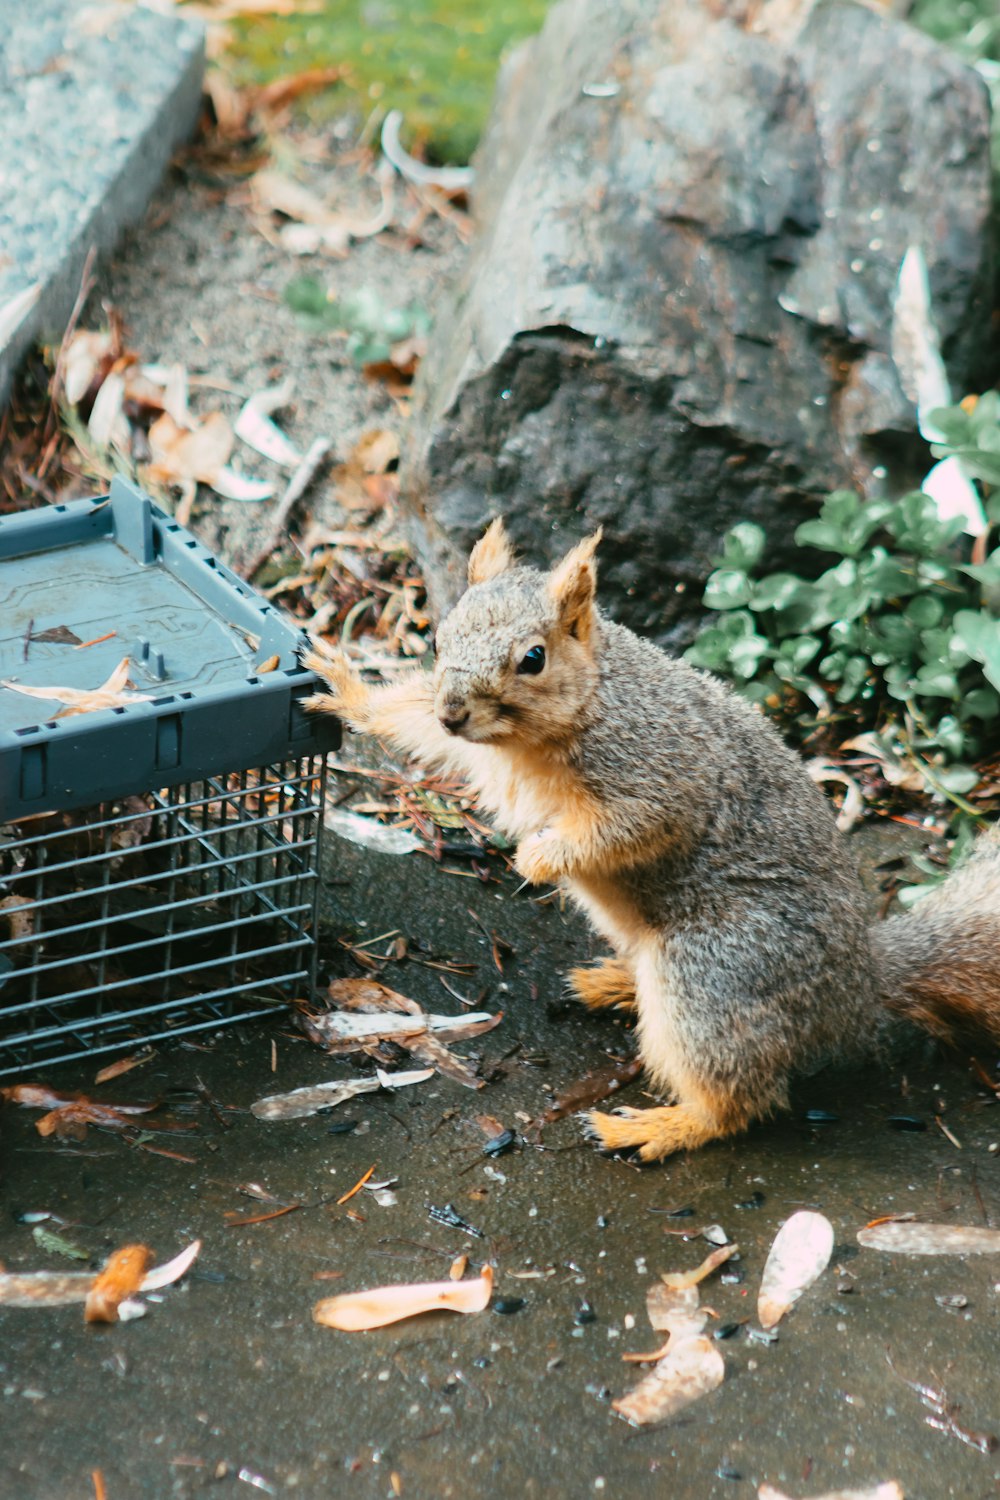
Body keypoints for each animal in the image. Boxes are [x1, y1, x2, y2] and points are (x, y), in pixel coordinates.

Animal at [302, 522, 1000, 1164]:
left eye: (533, 658)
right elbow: (409, 720)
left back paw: (658, 1127)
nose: (454, 711)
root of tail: (857, 991)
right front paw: (347, 690)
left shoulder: (660, 777)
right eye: (441, 637)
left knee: (741, 1100)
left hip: (715, 975)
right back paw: (615, 983)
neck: (583, 704)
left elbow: (630, 828)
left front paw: (537, 858)